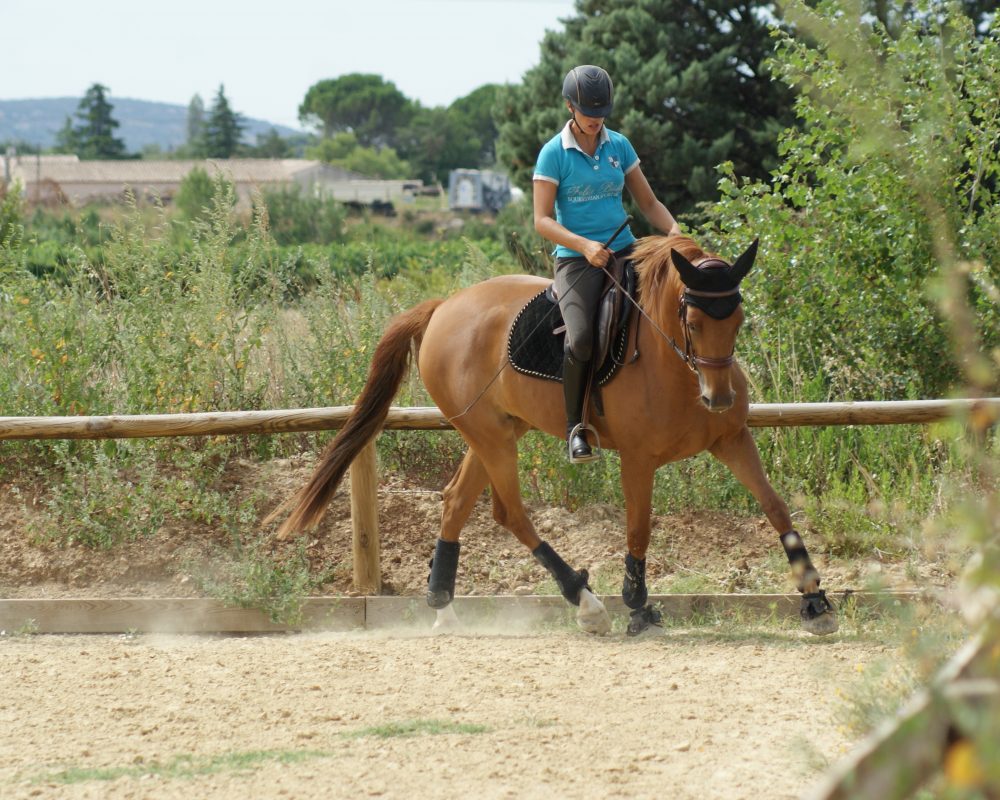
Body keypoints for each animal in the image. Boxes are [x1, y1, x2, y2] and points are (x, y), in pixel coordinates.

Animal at [270, 233, 840, 636]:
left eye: (737, 318)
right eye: (694, 322)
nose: (717, 398)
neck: (672, 362)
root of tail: (443, 308)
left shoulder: (732, 440)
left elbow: (776, 507)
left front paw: (815, 599)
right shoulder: (638, 458)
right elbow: (638, 529)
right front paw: (638, 608)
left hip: (494, 431)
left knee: (456, 502)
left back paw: (444, 610)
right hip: (491, 438)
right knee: (510, 513)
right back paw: (586, 604)